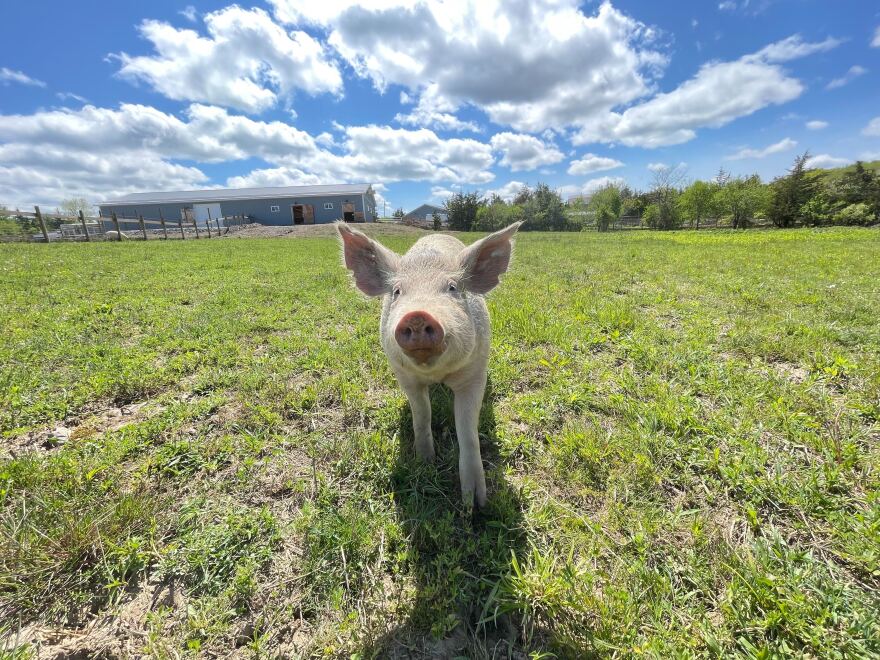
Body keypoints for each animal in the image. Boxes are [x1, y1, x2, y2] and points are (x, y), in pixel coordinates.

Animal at [336, 220, 524, 506]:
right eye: (397, 291)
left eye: (452, 288)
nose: (417, 315)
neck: (436, 373)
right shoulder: (404, 376)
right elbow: (422, 415)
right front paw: (425, 462)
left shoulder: (475, 374)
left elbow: (467, 430)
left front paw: (475, 504)